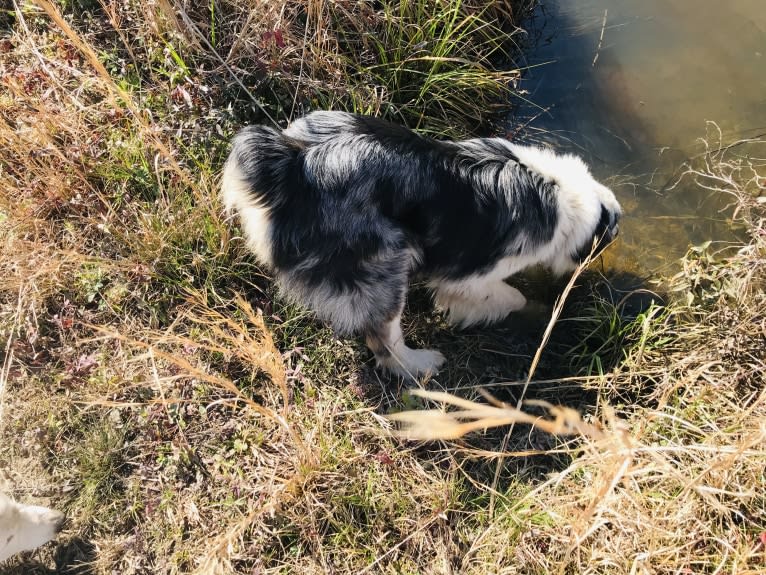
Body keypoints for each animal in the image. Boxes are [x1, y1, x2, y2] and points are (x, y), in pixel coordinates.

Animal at [219, 111, 620, 378]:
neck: (561, 191)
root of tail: (294, 163)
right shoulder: (469, 275)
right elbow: (510, 296)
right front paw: (525, 310)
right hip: (384, 262)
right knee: (385, 341)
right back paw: (419, 363)